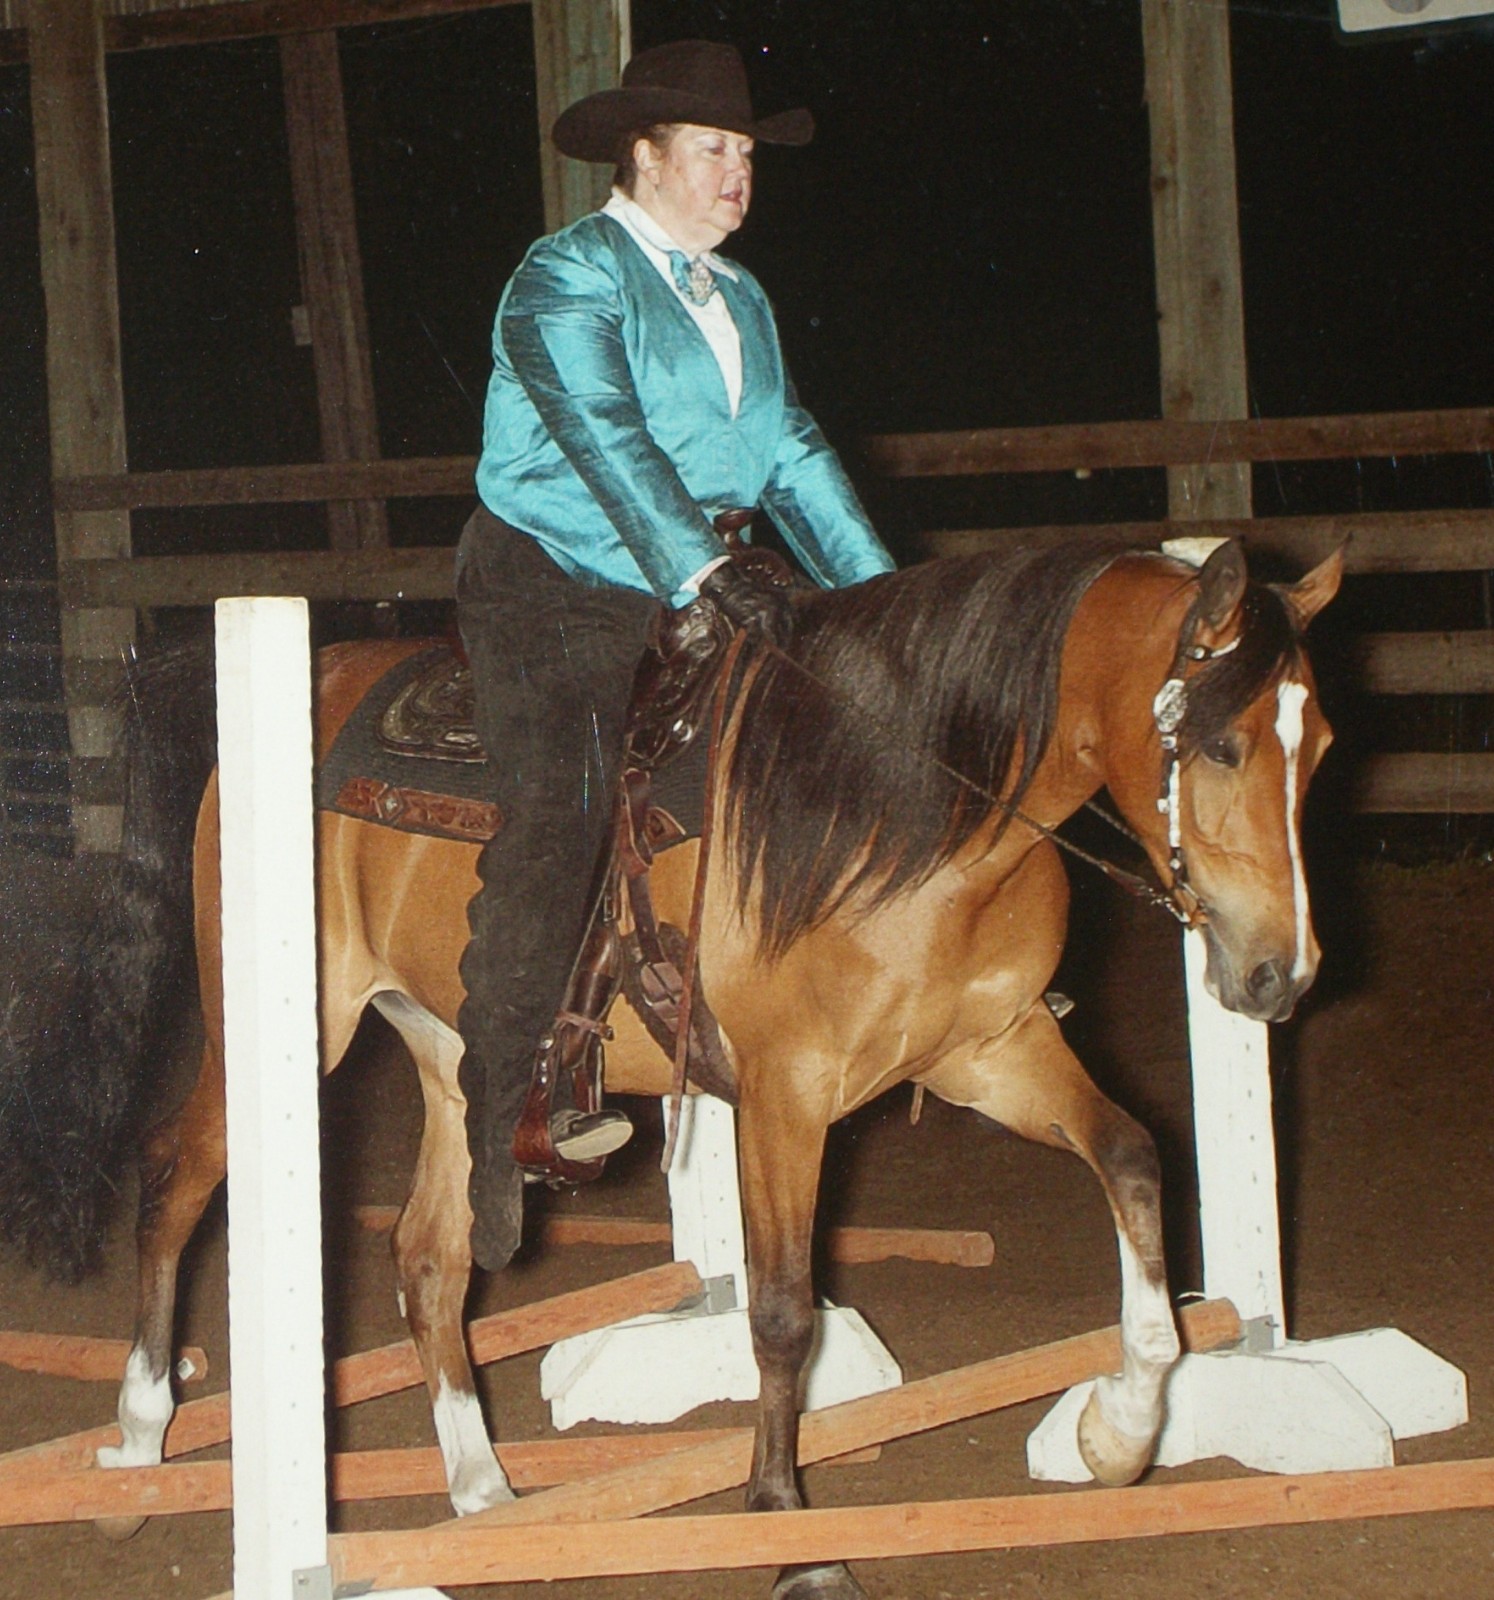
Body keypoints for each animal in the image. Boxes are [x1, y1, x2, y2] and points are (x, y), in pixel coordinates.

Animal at [84, 535, 1337, 1597]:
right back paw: (139, 1446)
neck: (906, 805)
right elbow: (781, 1315)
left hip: (451, 1054)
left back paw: (485, 1492)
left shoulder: (993, 1050)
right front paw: (791, 1533)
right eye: (1220, 744)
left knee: (429, 1259)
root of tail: (333, 670)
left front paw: (1118, 1432)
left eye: (1318, 746)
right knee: (176, 1177)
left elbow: (1131, 1157)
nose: (1281, 973)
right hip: (285, 1028)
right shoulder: (787, 1096)